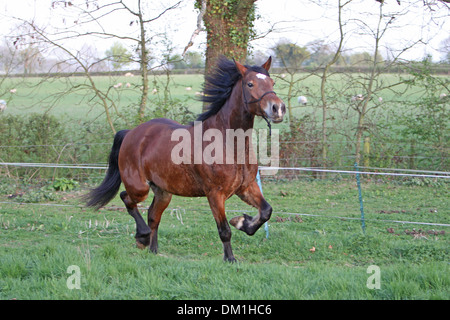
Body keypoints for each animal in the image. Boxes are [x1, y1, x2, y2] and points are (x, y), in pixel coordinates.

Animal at [85, 57, 284, 262]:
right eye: (250, 84)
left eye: (272, 83)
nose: (278, 108)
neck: (229, 144)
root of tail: (130, 133)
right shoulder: (215, 194)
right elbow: (224, 230)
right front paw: (230, 258)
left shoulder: (246, 187)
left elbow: (266, 211)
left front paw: (242, 222)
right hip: (139, 187)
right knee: (127, 199)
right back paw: (142, 237)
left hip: (163, 192)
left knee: (153, 215)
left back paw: (153, 249)